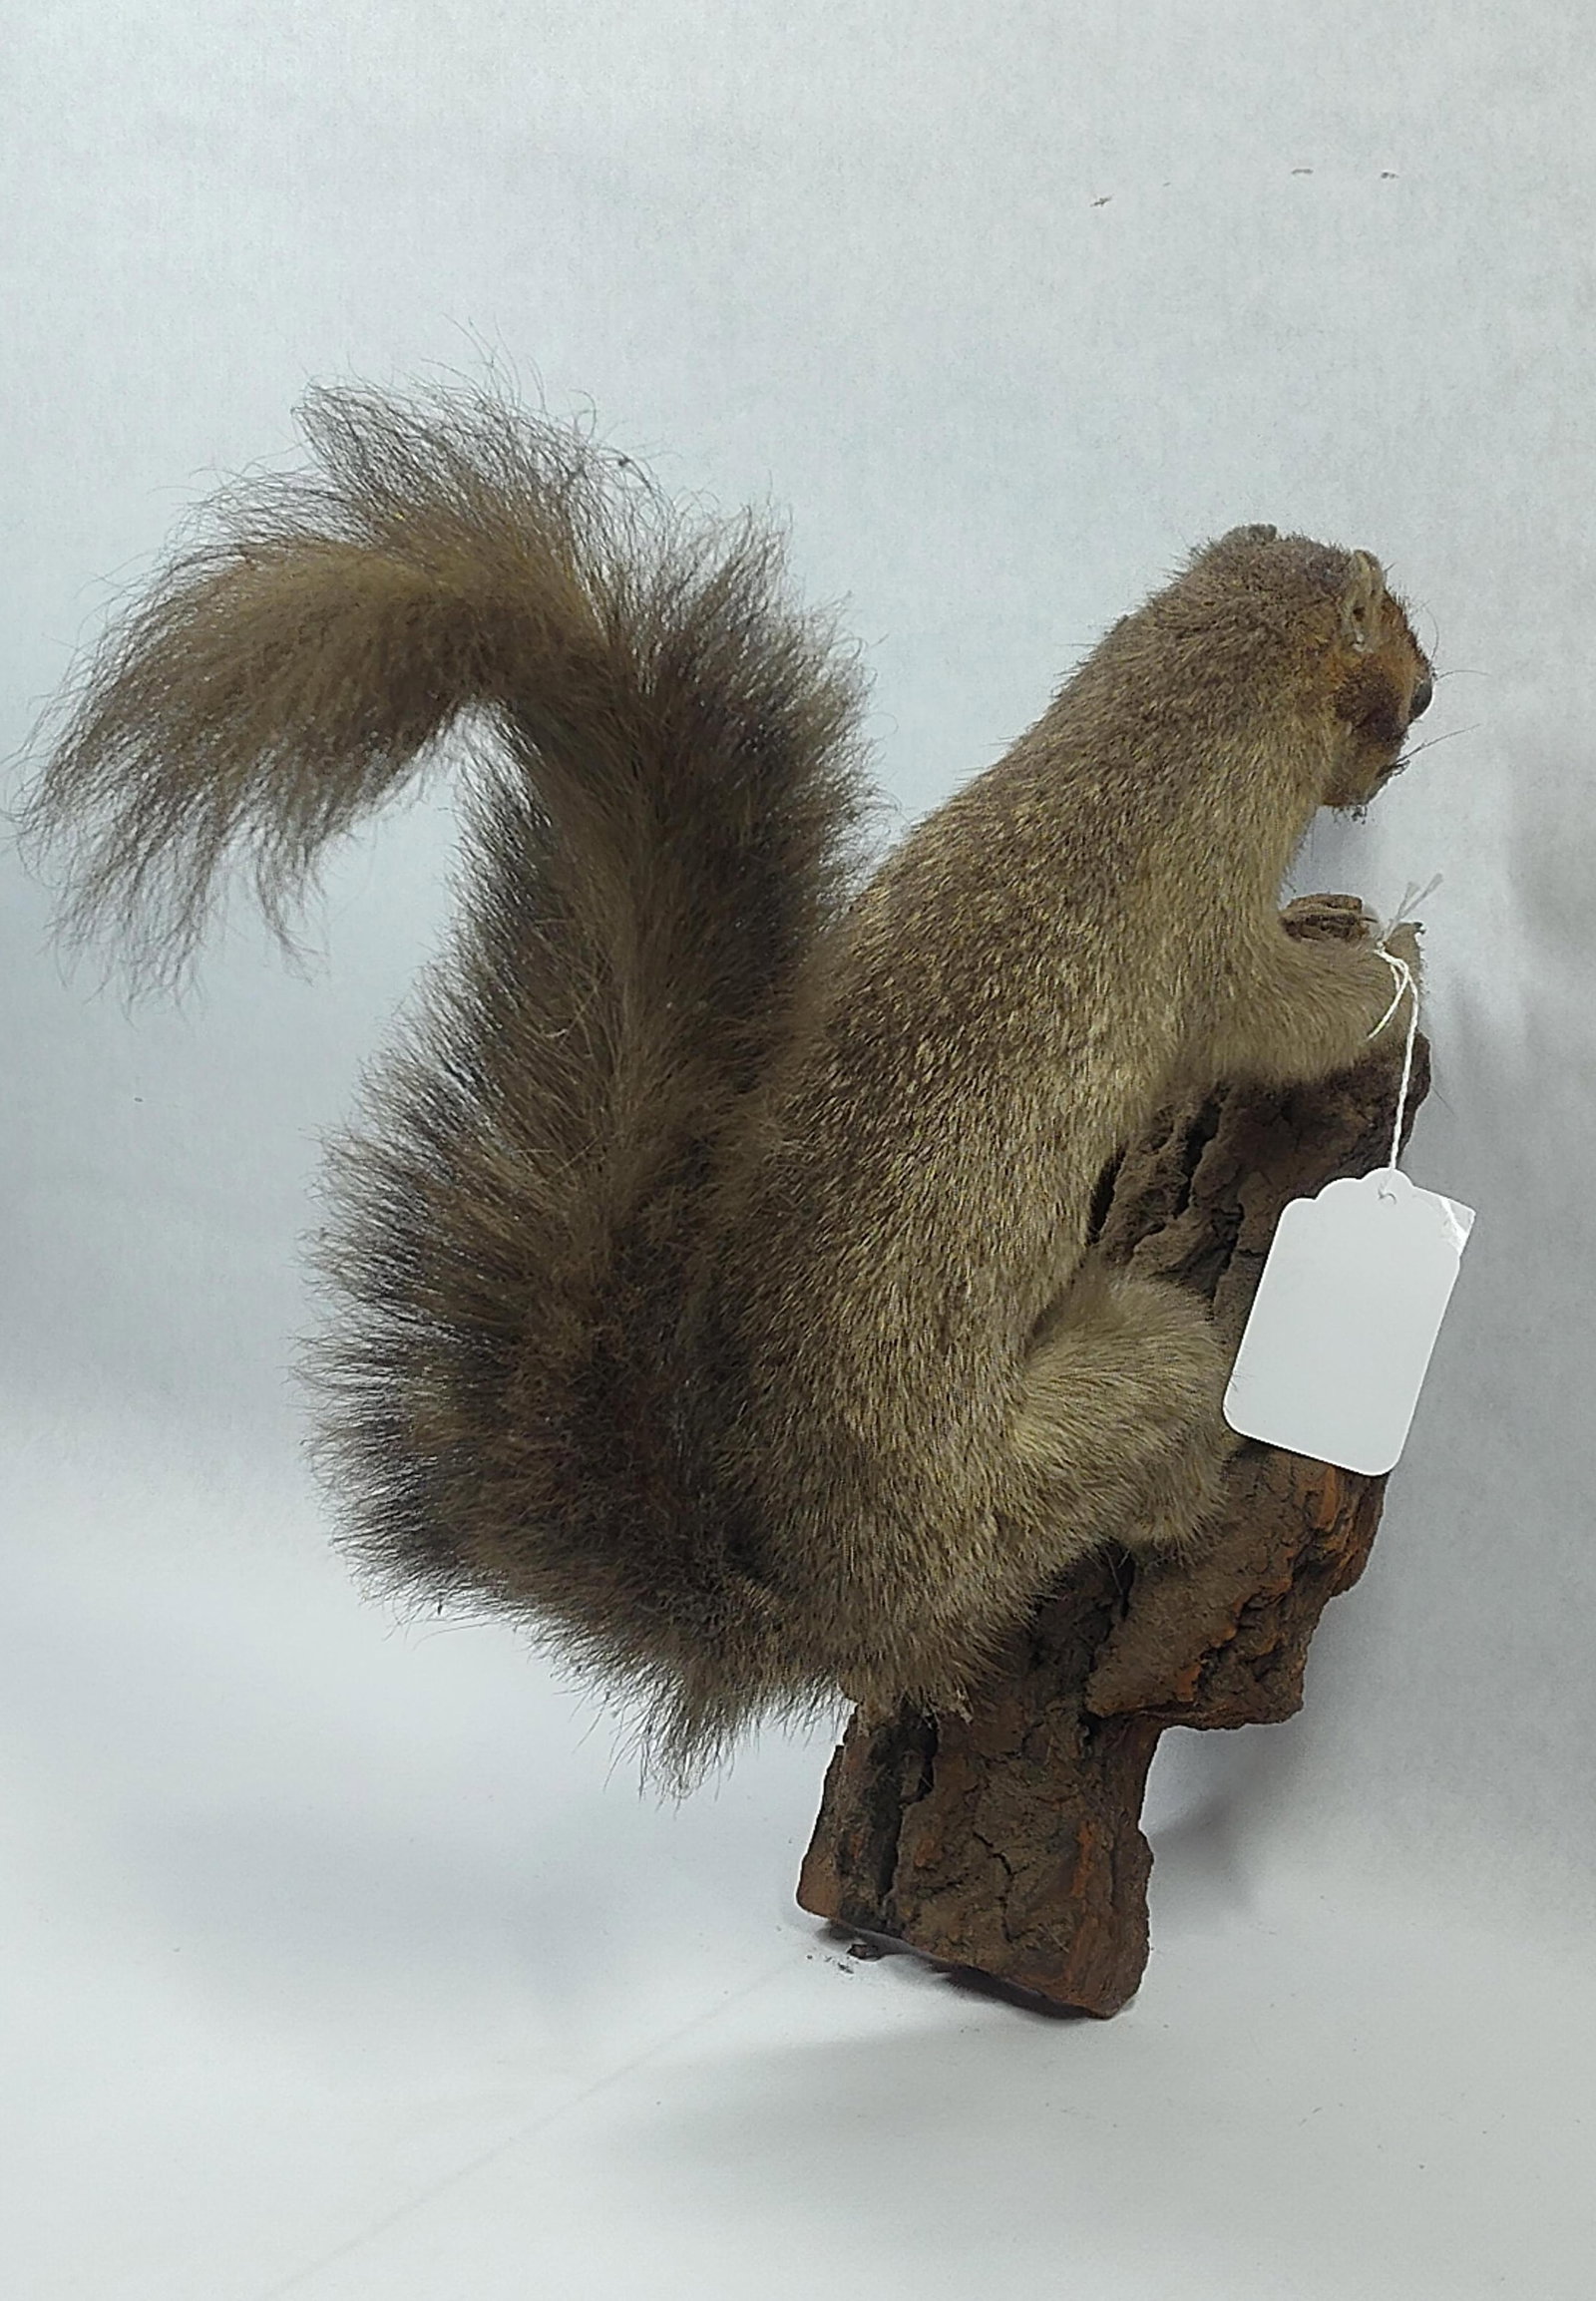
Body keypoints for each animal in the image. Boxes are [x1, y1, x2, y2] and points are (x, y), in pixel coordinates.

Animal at [21, 388, 1432, 1783]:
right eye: (1401, 661)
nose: (1425, 706)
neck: (1153, 725)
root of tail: (821, 1616)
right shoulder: (1201, 936)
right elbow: (1291, 1014)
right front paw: (1400, 960)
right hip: (1101, 1410)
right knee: (1147, 1462)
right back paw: (1221, 1497)